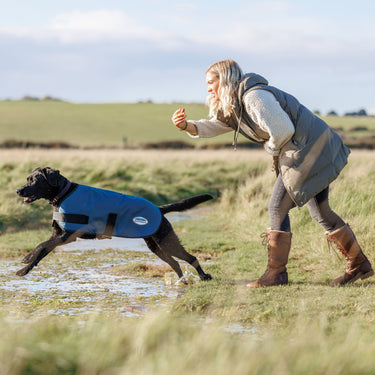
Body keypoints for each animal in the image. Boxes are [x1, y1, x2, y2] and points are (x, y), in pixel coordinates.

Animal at [16, 168, 213, 282]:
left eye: (35, 180)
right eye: (27, 179)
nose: (18, 190)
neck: (63, 194)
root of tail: (159, 209)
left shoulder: (67, 235)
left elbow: (41, 245)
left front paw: (26, 258)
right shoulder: (58, 235)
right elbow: (42, 252)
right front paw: (24, 269)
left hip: (167, 242)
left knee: (190, 258)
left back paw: (204, 276)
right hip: (155, 246)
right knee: (176, 264)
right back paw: (182, 283)